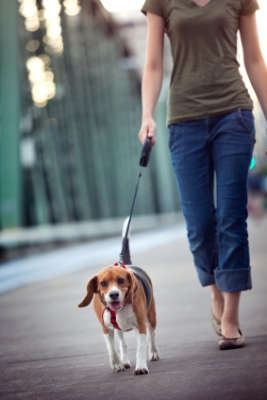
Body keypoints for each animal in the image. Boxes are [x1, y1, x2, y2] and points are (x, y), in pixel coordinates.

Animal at [78, 222, 160, 376]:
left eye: (121, 280)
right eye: (103, 283)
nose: (114, 295)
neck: (119, 308)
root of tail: (126, 263)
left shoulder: (140, 326)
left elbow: (140, 348)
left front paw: (141, 367)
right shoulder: (105, 328)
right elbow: (111, 348)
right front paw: (117, 364)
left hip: (151, 317)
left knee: (152, 335)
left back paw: (154, 353)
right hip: (119, 328)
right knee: (122, 343)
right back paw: (124, 360)